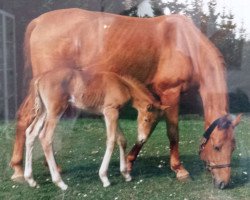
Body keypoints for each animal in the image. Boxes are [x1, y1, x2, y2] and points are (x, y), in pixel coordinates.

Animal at [23, 67, 166, 189]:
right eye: (146, 119)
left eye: (155, 123)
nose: (142, 139)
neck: (124, 86)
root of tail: (40, 78)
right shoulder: (111, 111)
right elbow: (111, 141)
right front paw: (104, 178)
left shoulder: (107, 114)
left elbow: (122, 140)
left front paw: (126, 174)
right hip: (55, 111)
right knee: (45, 137)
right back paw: (60, 183)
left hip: (43, 111)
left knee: (30, 133)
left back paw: (31, 180)